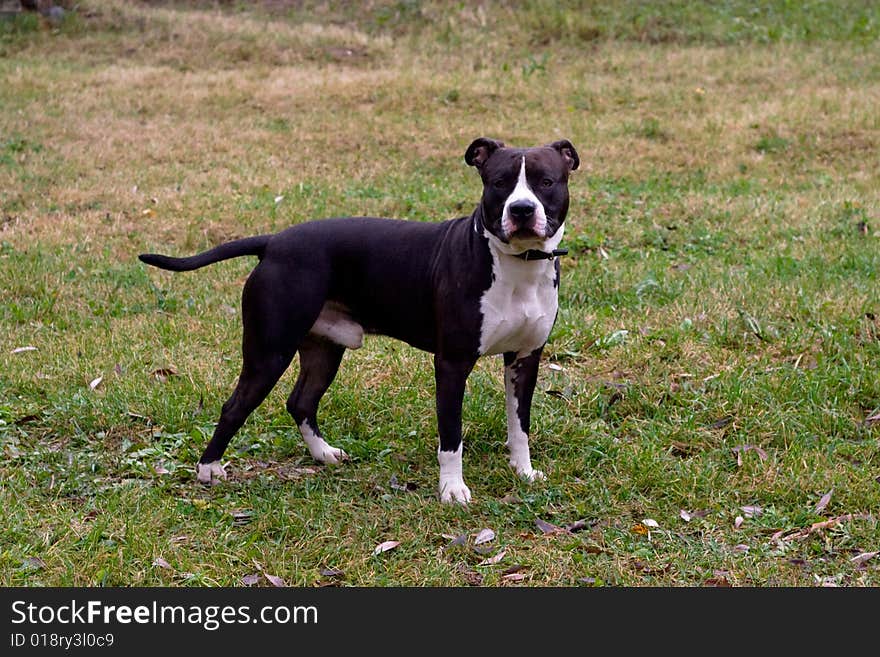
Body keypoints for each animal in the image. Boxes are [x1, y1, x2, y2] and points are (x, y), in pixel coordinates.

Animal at [138, 136, 576, 500]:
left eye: (546, 182)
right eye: (499, 182)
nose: (522, 209)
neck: (518, 266)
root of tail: (274, 242)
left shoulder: (525, 359)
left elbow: (520, 425)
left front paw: (523, 471)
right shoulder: (452, 364)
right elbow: (451, 436)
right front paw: (452, 490)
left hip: (324, 349)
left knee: (300, 402)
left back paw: (323, 453)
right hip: (269, 352)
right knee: (235, 407)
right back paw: (208, 469)